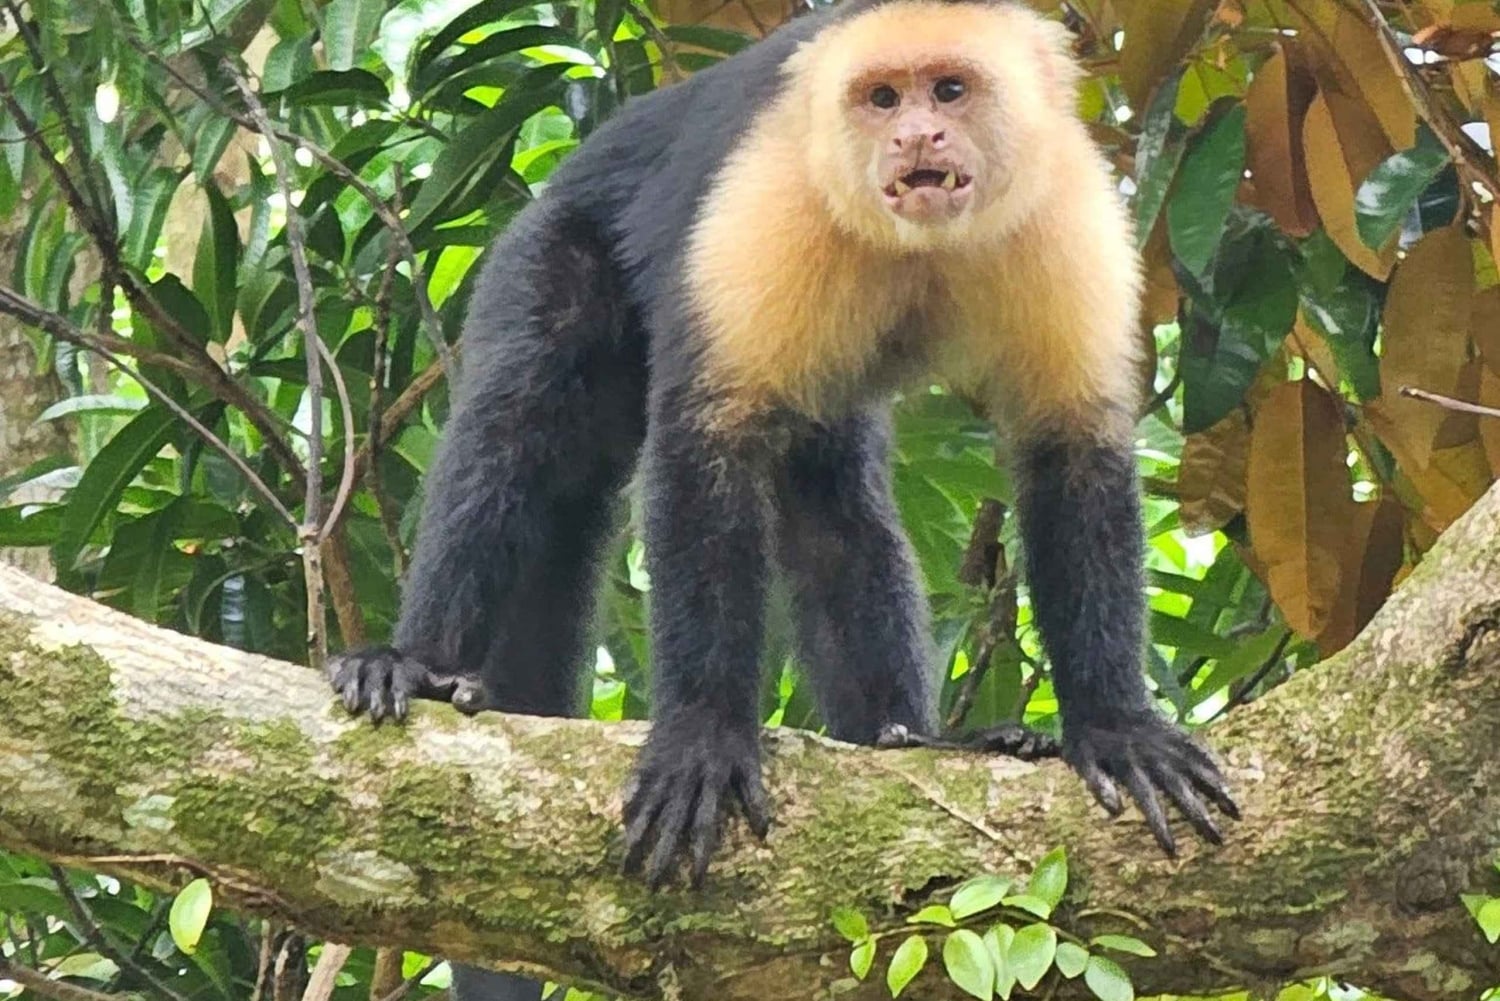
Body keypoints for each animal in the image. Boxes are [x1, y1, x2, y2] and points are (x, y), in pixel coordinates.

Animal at [328, 2, 1238, 994]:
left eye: (950, 89)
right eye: (882, 100)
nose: (917, 136)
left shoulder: (1065, 208)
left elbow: (1071, 450)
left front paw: (1115, 726)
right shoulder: (773, 192)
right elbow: (707, 439)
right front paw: (703, 737)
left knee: (833, 503)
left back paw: (904, 739)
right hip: (548, 247)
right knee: (524, 414)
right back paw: (413, 660)